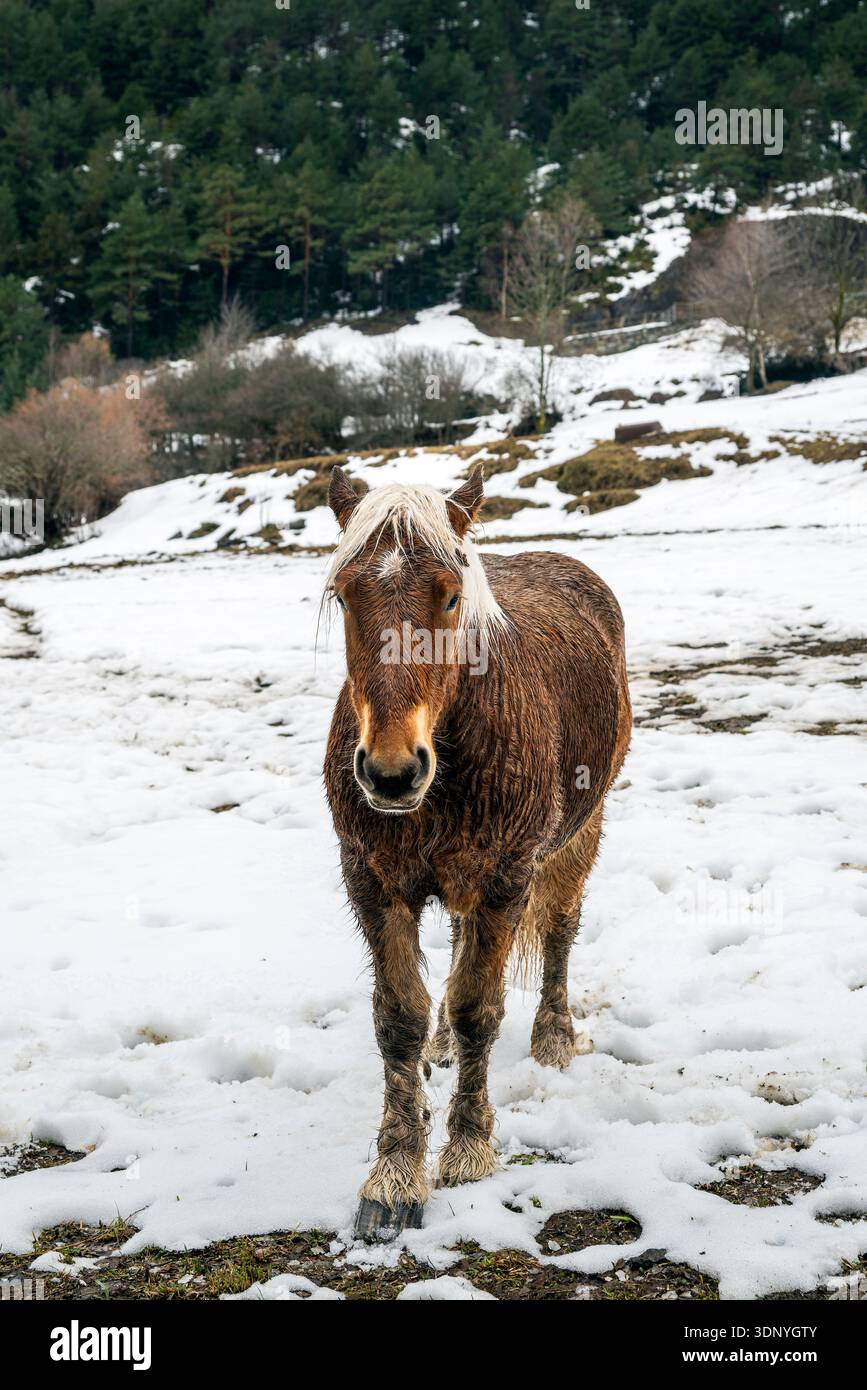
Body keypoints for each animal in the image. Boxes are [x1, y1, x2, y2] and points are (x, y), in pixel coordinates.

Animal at [323, 463, 632, 1240]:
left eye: (451, 595)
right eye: (344, 596)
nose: (391, 772)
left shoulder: (504, 881)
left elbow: (478, 1008)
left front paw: (466, 1147)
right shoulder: (372, 882)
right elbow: (398, 1017)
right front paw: (395, 1173)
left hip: (578, 835)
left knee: (559, 932)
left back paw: (553, 1035)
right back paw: (441, 1048)